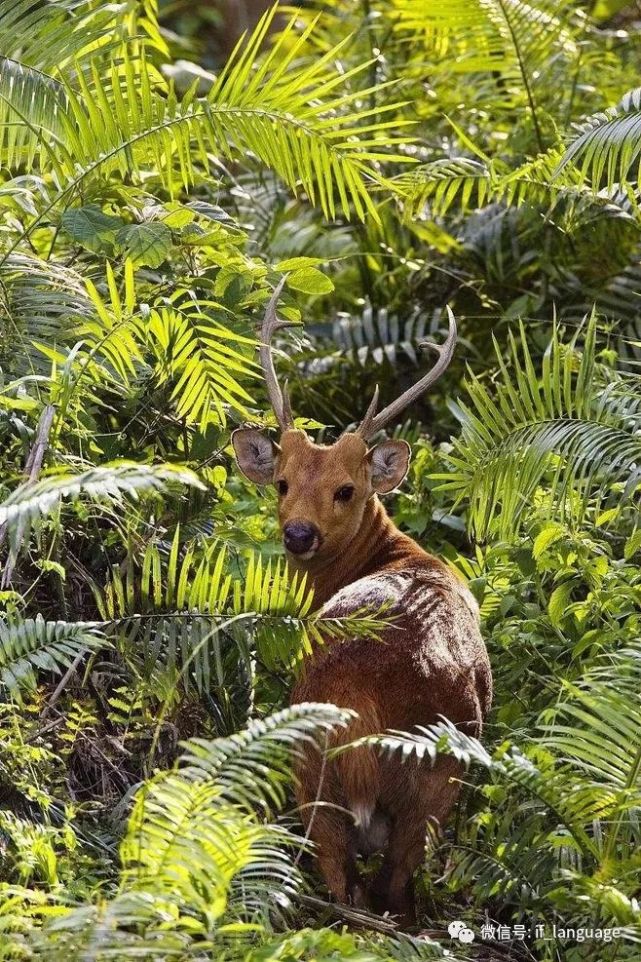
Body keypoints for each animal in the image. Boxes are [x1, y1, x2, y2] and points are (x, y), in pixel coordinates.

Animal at [232, 282, 492, 928]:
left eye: (345, 490)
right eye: (282, 483)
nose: (299, 534)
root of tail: (360, 705)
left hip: (319, 768)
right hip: (431, 773)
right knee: (380, 891)